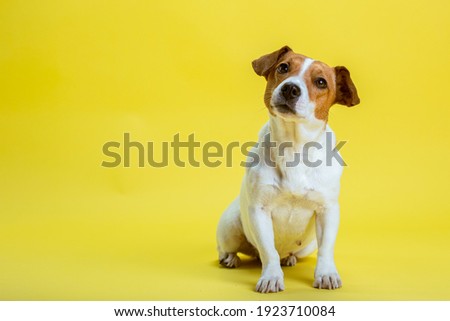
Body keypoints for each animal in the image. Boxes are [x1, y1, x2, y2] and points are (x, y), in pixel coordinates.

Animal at [216, 45, 360, 292]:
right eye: (283, 68)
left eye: (321, 82)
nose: (290, 88)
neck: (294, 148)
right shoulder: (260, 211)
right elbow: (269, 251)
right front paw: (271, 276)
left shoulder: (328, 211)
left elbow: (326, 249)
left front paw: (326, 274)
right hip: (231, 226)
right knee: (229, 248)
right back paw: (230, 258)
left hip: (307, 245)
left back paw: (289, 258)